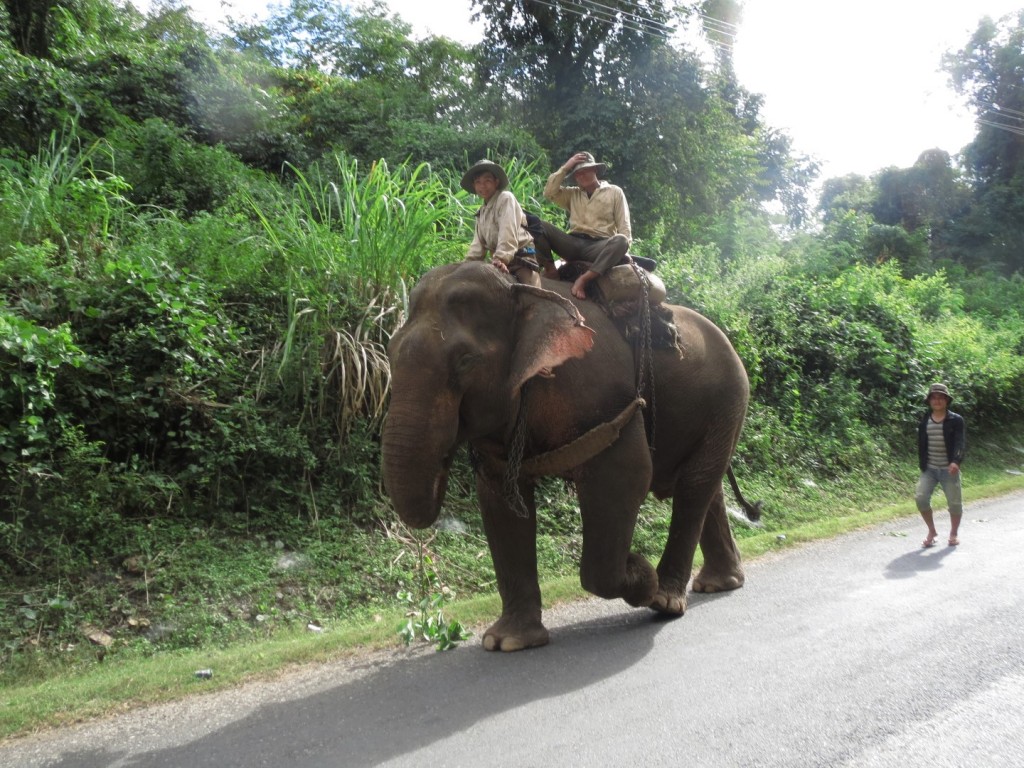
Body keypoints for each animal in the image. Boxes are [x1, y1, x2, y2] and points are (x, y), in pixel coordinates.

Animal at [385, 262, 753, 651]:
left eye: (465, 361)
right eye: (389, 352)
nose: (443, 461)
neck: (522, 294)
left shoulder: (605, 395)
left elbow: (626, 475)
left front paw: (640, 571)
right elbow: (499, 502)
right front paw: (507, 642)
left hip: (729, 398)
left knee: (695, 486)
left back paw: (665, 600)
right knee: (704, 486)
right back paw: (718, 584)